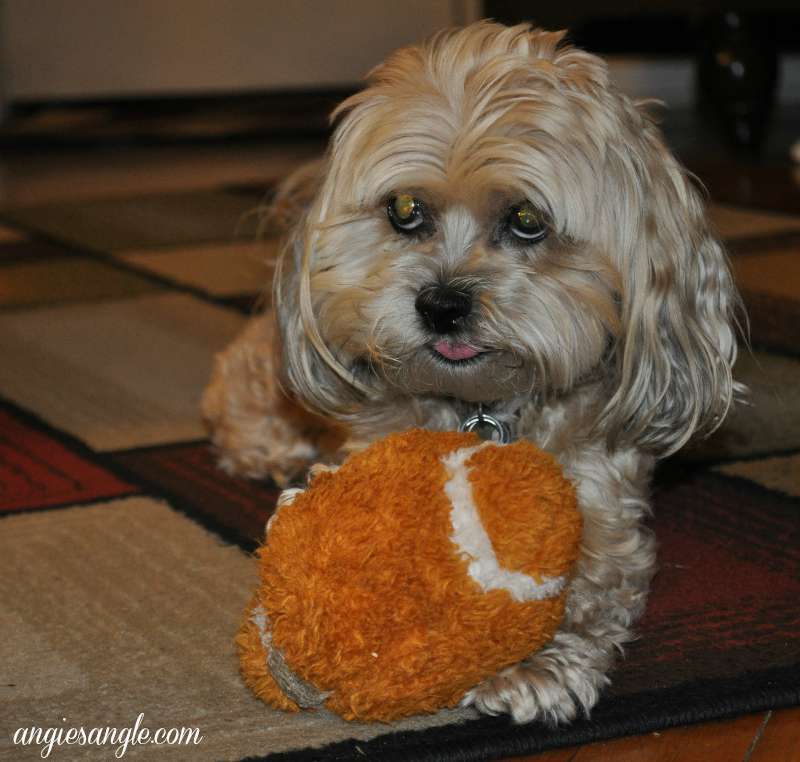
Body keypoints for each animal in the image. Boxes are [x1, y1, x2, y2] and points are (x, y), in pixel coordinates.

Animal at [203, 20, 740, 724]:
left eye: (528, 220)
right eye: (405, 209)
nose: (441, 305)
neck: (484, 408)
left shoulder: (604, 498)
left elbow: (592, 578)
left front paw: (537, 662)